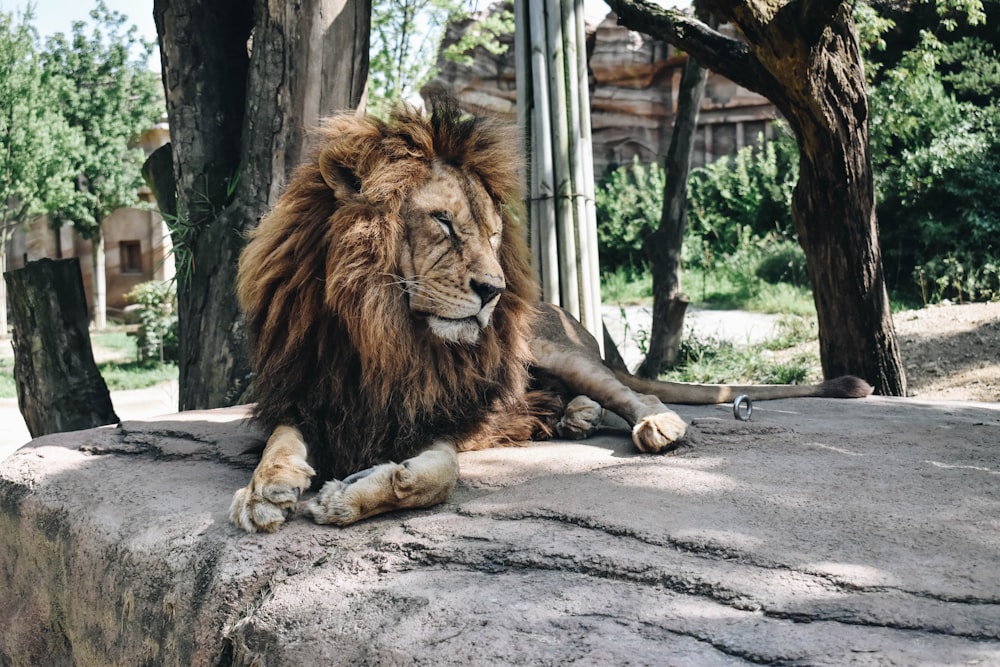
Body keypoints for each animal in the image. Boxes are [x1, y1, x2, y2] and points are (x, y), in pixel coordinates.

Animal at [227, 100, 868, 536]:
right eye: (443, 222)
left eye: (492, 234)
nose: (493, 291)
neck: (383, 336)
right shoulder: (310, 391)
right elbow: (281, 440)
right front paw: (267, 489)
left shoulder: (450, 412)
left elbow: (436, 478)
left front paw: (347, 496)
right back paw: (572, 417)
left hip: (552, 347)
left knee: (632, 392)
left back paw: (647, 423)